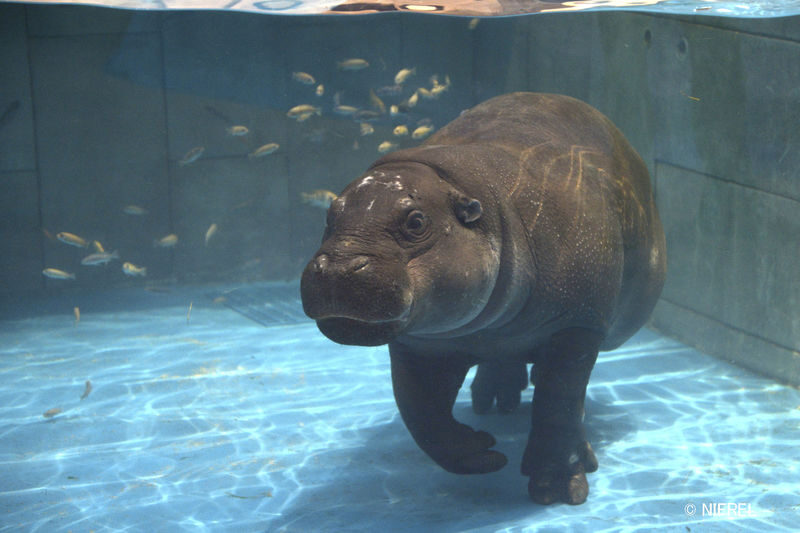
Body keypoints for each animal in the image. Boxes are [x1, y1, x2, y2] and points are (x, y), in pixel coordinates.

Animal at [300, 92, 666, 505]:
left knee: (563, 393)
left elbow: (558, 404)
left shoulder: (578, 326)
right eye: (331, 214)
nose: (337, 269)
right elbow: (420, 413)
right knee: (503, 361)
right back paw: (495, 401)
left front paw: (557, 490)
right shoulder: (420, 343)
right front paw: (483, 453)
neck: (489, 204)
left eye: (416, 221)